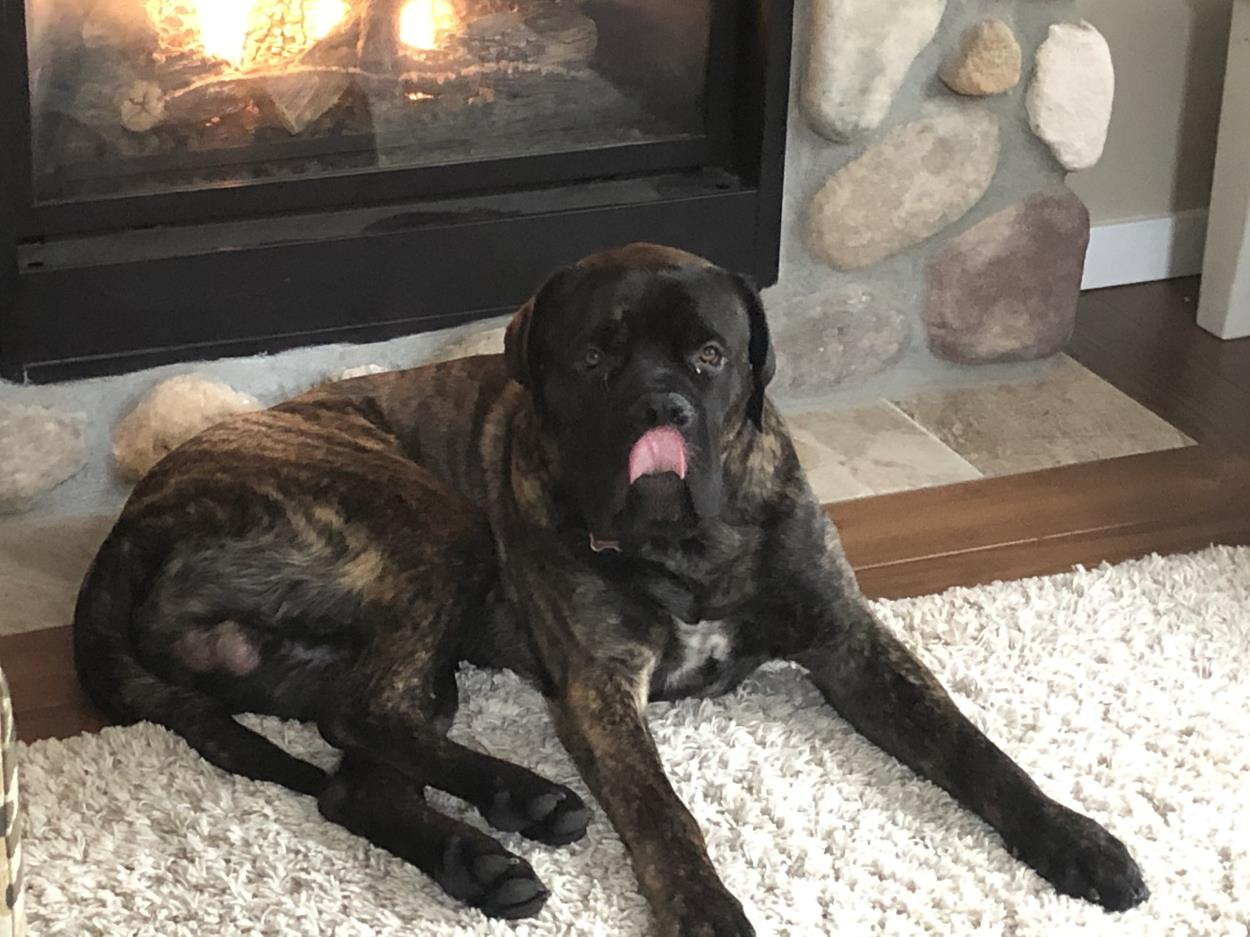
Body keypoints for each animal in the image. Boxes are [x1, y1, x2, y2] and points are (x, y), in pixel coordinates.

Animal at [73, 244, 1148, 935]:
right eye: (594, 355)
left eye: (711, 355)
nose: (659, 408)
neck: (692, 540)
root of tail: (133, 523)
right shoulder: (601, 687)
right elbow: (662, 812)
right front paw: (706, 910)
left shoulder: (848, 641)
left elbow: (973, 748)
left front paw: (1075, 839)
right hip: (429, 530)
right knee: (363, 712)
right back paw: (527, 796)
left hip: (406, 649)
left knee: (357, 769)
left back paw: (482, 859)